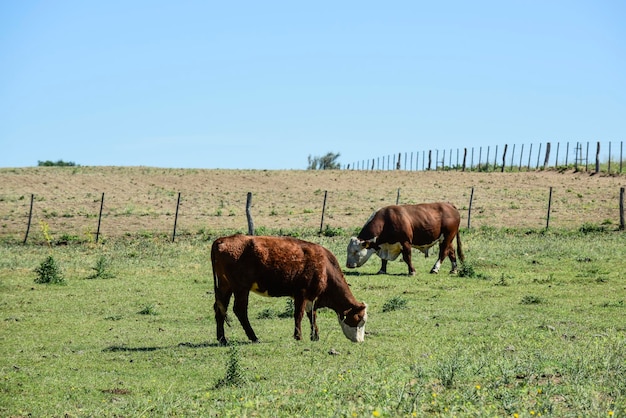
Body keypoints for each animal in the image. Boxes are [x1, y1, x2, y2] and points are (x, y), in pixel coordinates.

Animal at [210, 233, 366, 344]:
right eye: (359, 319)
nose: (360, 341)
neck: (325, 267)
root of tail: (222, 240)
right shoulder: (301, 294)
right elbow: (299, 315)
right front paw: (298, 336)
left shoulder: (311, 296)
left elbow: (312, 315)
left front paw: (315, 336)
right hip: (241, 288)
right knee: (240, 310)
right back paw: (253, 337)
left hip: (225, 286)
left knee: (220, 308)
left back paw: (222, 339)